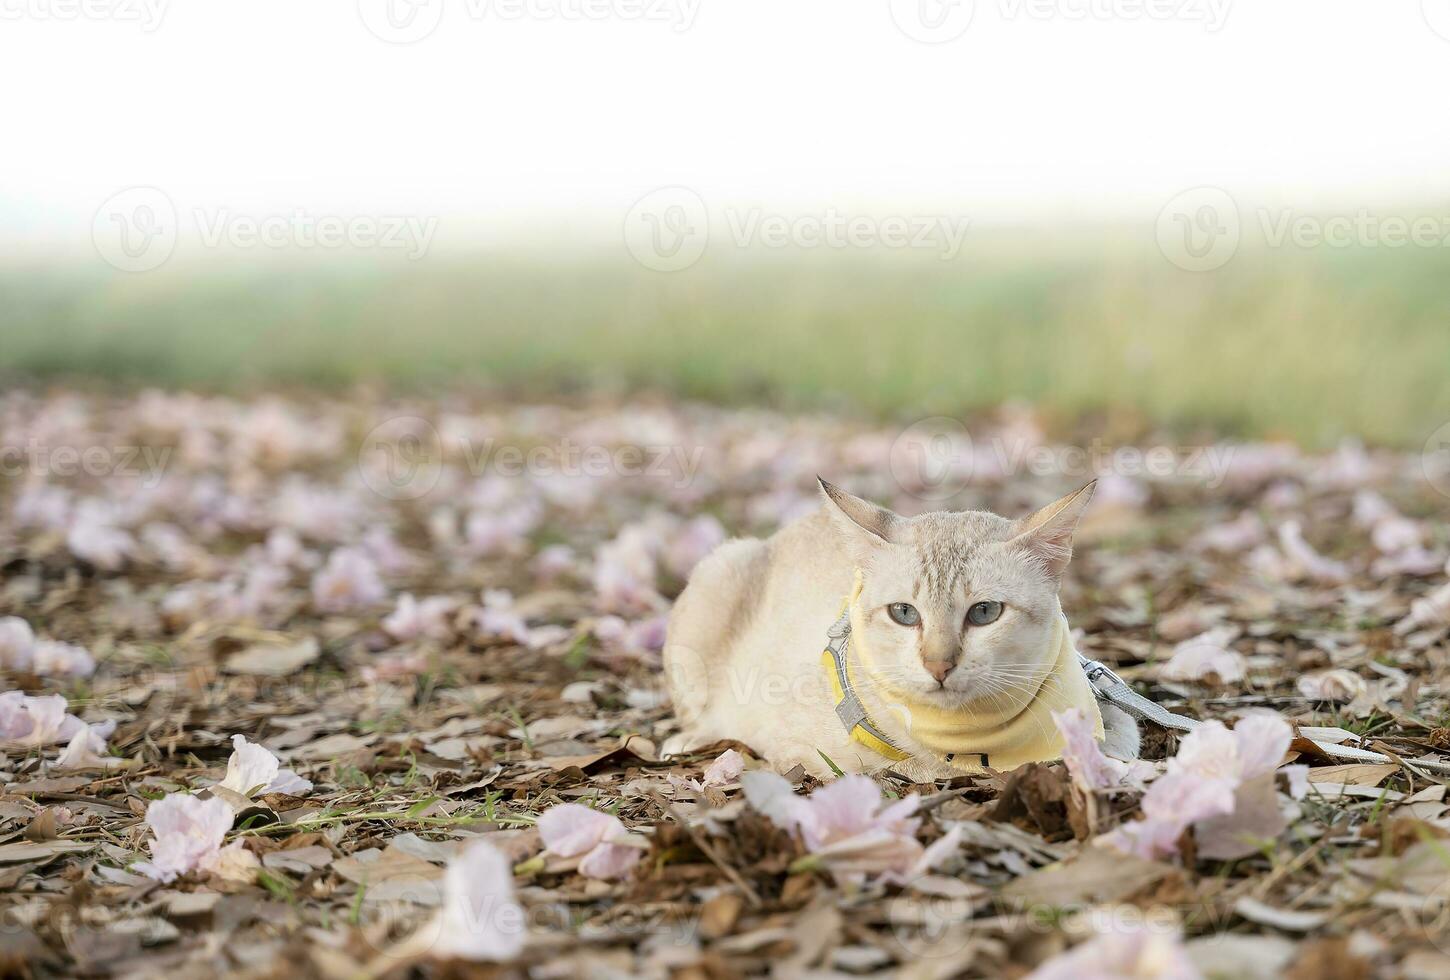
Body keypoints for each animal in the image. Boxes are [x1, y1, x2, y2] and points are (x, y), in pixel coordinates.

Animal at [661, 478, 1142, 777]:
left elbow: (1124, 735)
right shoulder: (807, 755)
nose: (939, 665)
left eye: (985, 612)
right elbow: (924, 768)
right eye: (904, 614)